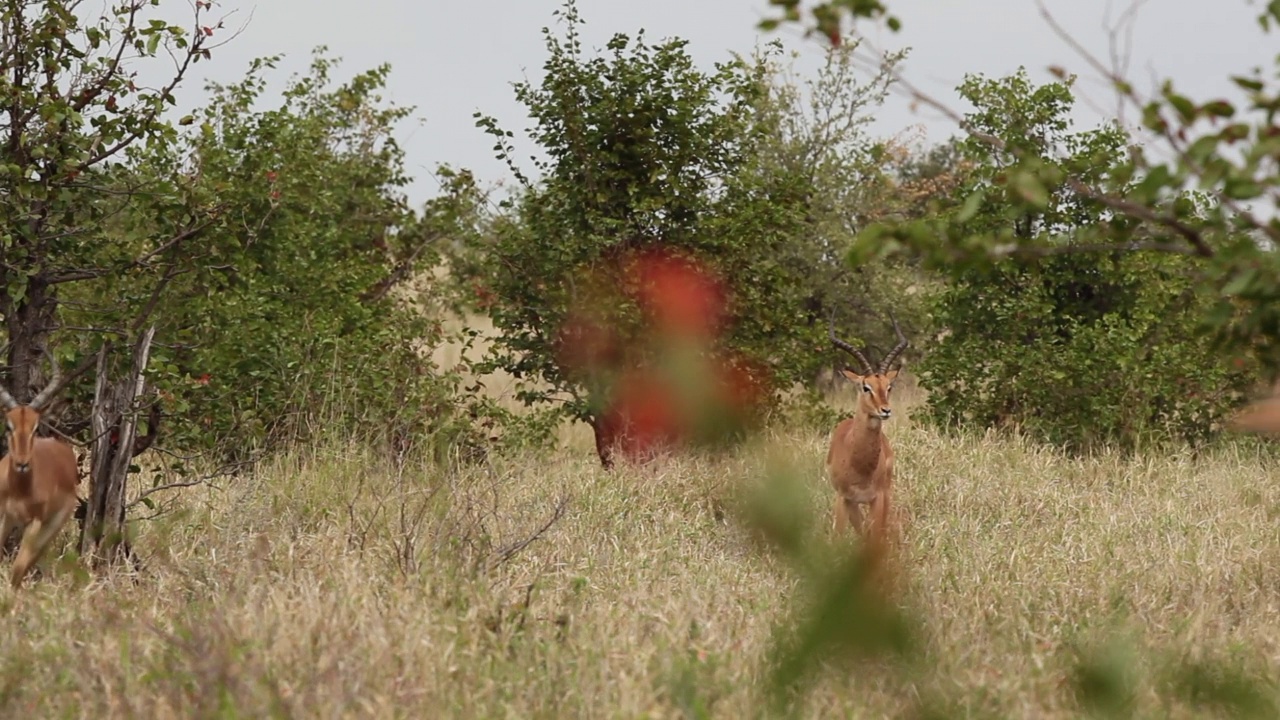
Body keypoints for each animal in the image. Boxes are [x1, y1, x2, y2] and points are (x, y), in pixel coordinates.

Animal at [0, 351, 81, 586]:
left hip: (51, 527)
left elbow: (17, 568)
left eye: (35, 428)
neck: (18, 490)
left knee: (30, 562)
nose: (22, 463)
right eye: (8, 426)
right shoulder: (3, 514)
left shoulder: (33, 523)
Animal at [829, 311, 911, 545]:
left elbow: (875, 537)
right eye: (866, 387)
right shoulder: (843, 498)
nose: (885, 410)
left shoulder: (878, 498)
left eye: (888, 387)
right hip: (853, 504)